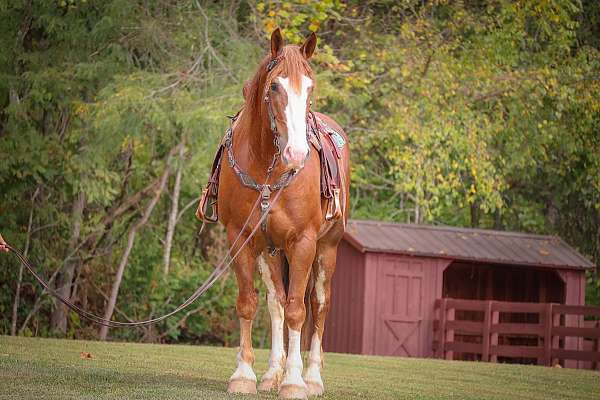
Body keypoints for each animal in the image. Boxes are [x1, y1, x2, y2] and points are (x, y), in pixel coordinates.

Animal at [218, 29, 350, 398]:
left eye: (310, 87)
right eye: (275, 86)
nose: (296, 153)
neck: (266, 166)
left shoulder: (303, 242)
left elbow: (297, 311)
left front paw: (294, 381)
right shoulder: (241, 239)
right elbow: (250, 304)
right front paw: (244, 375)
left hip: (327, 250)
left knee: (318, 305)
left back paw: (312, 377)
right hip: (270, 251)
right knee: (275, 303)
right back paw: (271, 374)